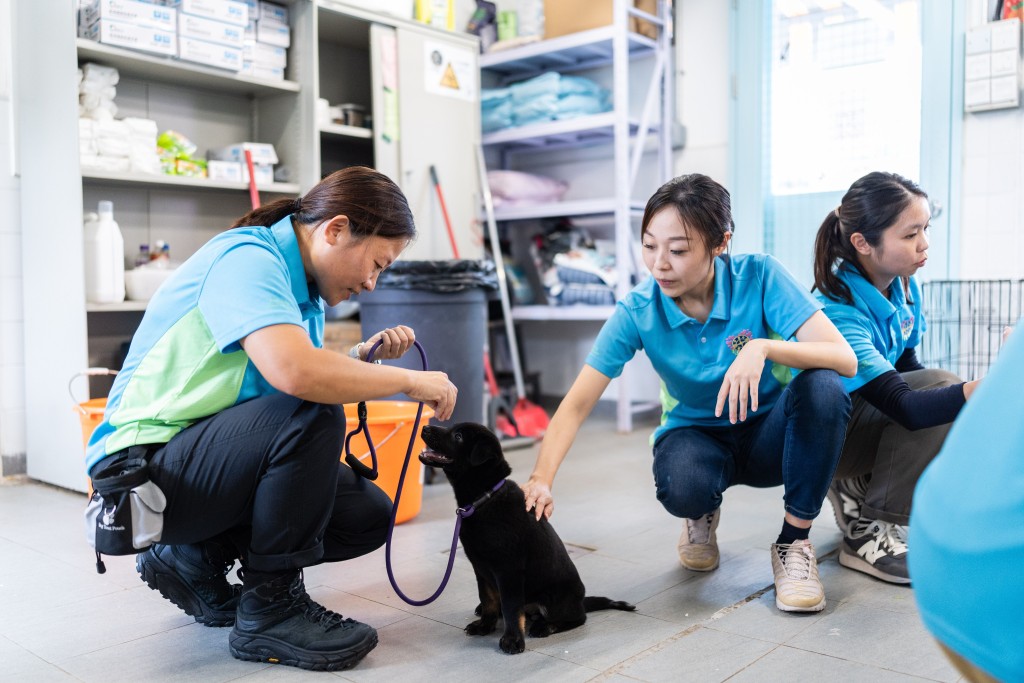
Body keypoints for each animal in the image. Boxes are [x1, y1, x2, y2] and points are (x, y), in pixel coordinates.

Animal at [417, 421, 630, 655]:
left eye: (458, 436)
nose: (425, 427)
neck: (485, 498)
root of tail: (581, 600)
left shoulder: (508, 571)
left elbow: (511, 608)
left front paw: (512, 640)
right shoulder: (480, 568)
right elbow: (488, 599)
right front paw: (485, 625)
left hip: (554, 599)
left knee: (577, 617)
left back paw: (545, 626)